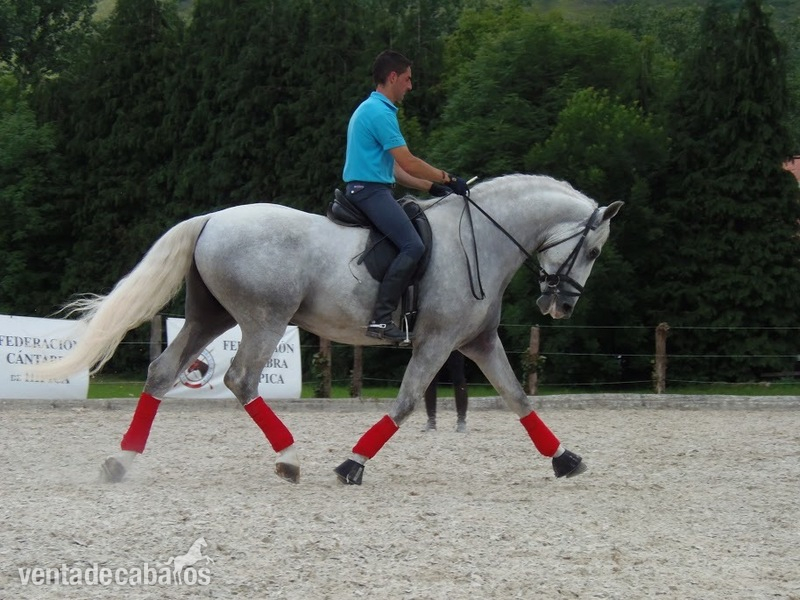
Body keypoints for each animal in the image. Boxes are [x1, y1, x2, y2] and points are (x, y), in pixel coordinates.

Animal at [37, 174, 622, 485]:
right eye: (593, 251)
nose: (560, 305)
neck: (479, 237)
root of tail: (210, 220)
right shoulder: (436, 342)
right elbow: (406, 402)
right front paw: (351, 464)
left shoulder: (477, 342)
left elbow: (518, 396)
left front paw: (565, 459)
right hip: (265, 319)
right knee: (241, 380)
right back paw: (289, 458)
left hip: (211, 315)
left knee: (162, 372)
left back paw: (122, 460)